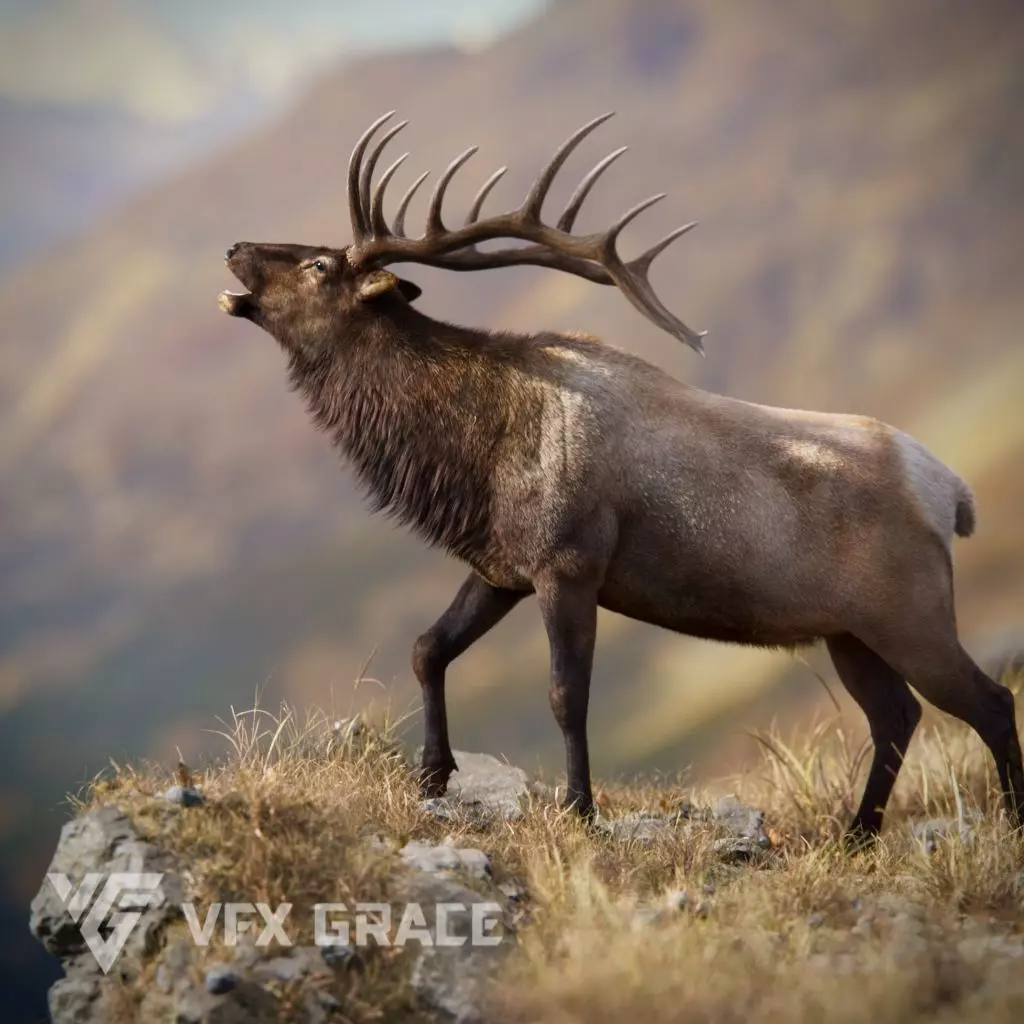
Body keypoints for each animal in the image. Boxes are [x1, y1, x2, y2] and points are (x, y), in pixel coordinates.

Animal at [219, 111, 1023, 842]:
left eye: (320, 265)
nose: (234, 246)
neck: (468, 458)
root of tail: (952, 492)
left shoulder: (570, 561)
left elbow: (565, 694)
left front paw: (579, 810)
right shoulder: (501, 566)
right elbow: (426, 648)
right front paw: (432, 778)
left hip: (910, 611)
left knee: (988, 700)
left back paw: (1006, 821)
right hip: (849, 630)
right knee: (897, 715)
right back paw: (857, 834)